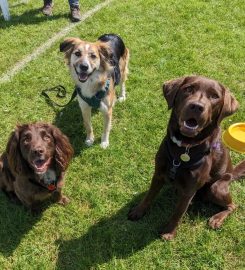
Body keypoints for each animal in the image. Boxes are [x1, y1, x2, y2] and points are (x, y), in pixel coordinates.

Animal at [128, 75, 245, 240]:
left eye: (214, 96)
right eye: (188, 89)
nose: (197, 106)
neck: (183, 148)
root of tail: (232, 173)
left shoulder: (190, 189)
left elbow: (178, 213)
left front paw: (169, 232)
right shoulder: (158, 174)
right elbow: (149, 196)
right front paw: (138, 211)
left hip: (216, 187)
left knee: (233, 206)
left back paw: (217, 218)